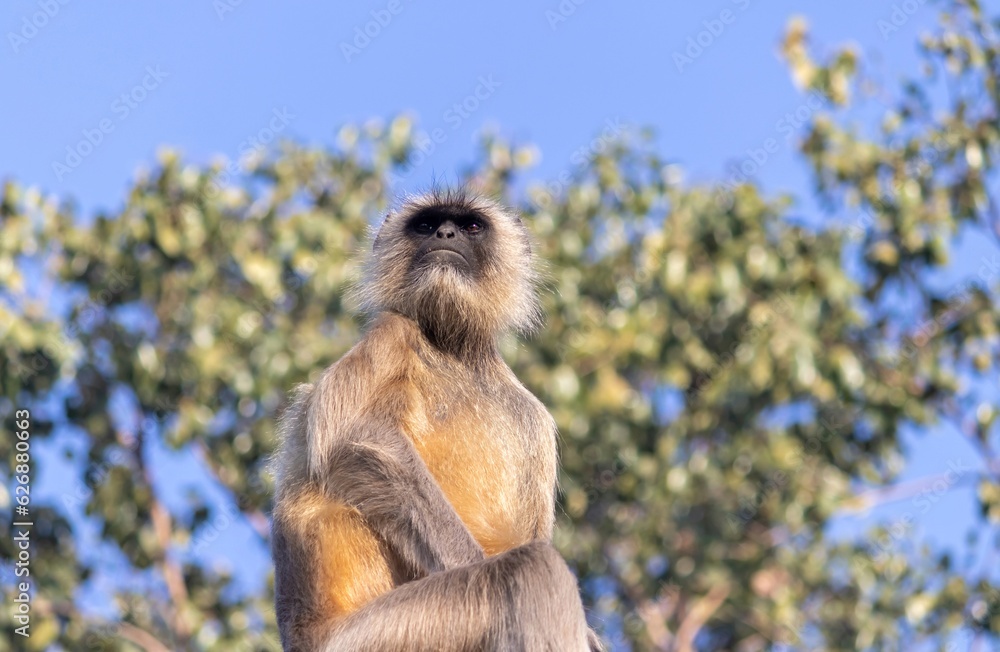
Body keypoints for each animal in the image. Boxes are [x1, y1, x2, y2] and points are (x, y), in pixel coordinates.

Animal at [270, 190, 602, 651]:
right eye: (426, 225)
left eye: (471, 226)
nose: (445, 234)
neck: (452, 350)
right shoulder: (392, 332)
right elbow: (351, 441)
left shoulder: (533, 417)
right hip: (383, 635)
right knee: (530, 569)